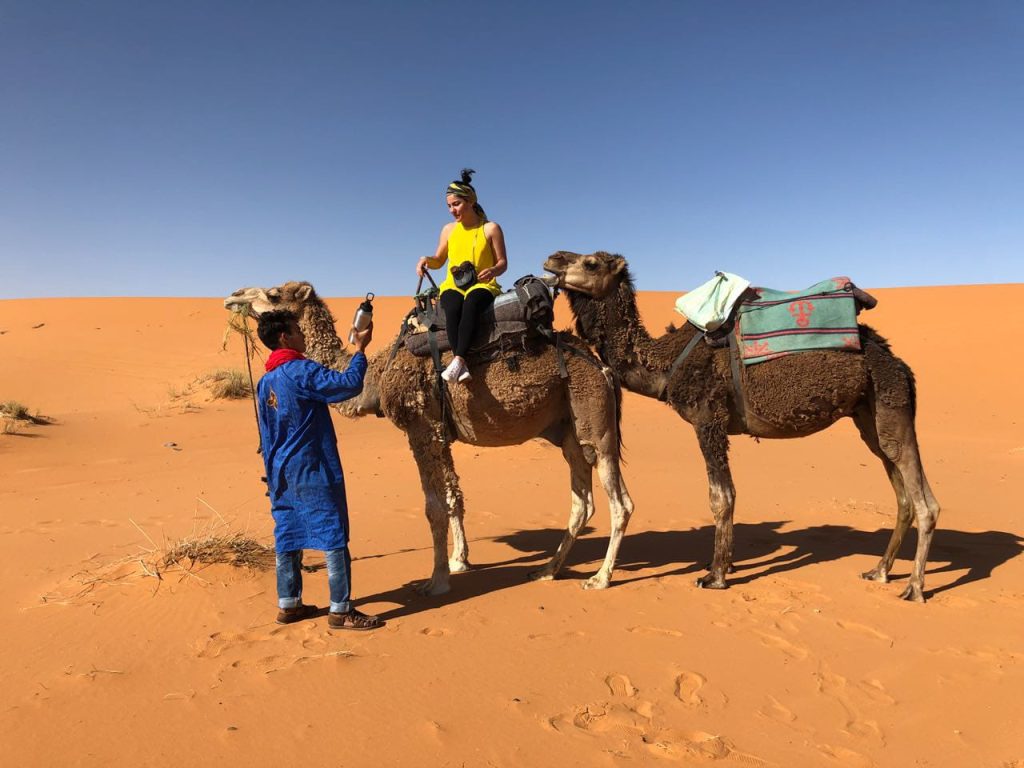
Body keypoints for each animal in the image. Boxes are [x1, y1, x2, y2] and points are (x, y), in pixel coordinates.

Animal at [228, 280, 634, 593]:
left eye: (274, 293)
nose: (233, 295)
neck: (377, 374)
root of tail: (603, 367)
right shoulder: (441, 432)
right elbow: (454, 497)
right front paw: (459, 561)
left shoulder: (421, 428)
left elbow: (433, 507)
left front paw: (436, 581)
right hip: (568, 430)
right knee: (582, 502)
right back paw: (548, 570)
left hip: (594, 419)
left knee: (620, 503)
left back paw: (600, 578)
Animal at [544, 252, 942, 602]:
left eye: (590, 263)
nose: (552, 258)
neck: (666, 362)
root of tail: (899, 363)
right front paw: (725, 566)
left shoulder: (708, 419)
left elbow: (721, 497)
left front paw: (715, 575)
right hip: (869, 416)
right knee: (901, 491)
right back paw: (880, 570)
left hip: (891, 402)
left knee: (925, 502)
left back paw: (915, 587)